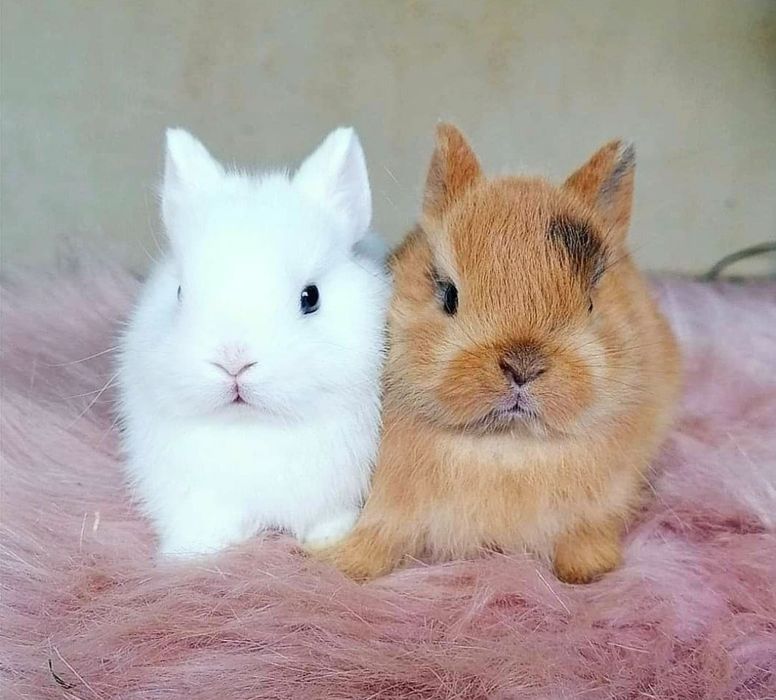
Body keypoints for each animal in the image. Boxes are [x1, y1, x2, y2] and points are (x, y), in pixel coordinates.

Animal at [117, 126, 390, 557]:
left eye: (310, 297)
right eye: (179, 292)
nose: (233, 361)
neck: (253, 425)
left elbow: (328, 518)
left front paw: (328, 541)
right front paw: (191, 552)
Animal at [318, 124, 681, 583]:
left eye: (590, 304)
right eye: (449, 295)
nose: (522, 366)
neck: (506, 444)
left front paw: (588, 569)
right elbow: (380, 533)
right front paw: (347, 565)